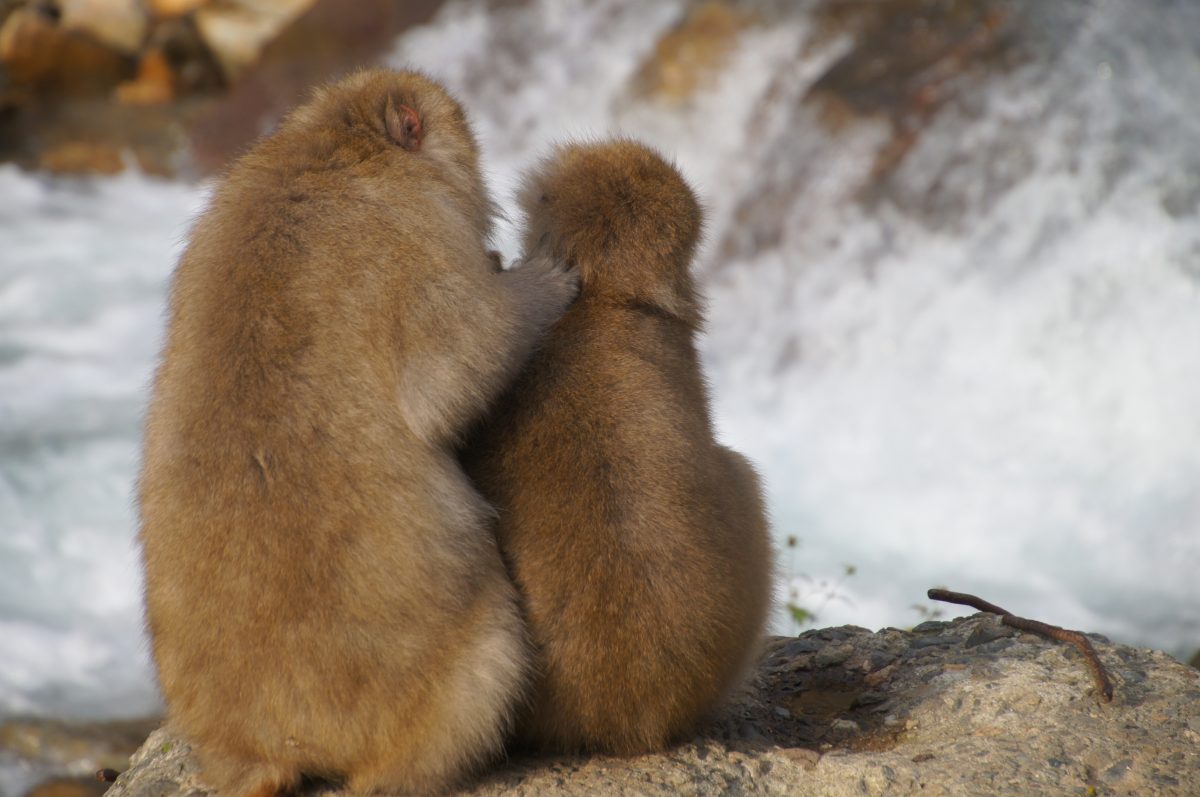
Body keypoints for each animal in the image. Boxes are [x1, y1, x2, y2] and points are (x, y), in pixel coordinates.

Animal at [137, 68, 577, 797]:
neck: (331, 146)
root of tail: (269, 747)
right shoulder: (414, 230)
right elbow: (455, 366)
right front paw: (542, 282)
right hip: (452, 678)